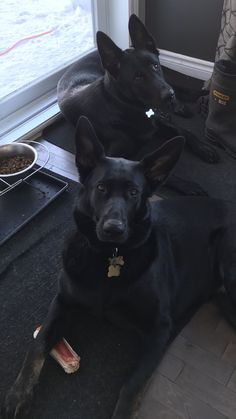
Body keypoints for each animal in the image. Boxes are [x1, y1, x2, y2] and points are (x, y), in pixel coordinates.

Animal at [57, 13, 219, 196]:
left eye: (155, 65)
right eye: (137, 77)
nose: (169, 95)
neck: (126, 106)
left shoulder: (156, 123)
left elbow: (184, 131)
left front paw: (204, 148)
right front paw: (188, 185)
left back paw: (179, 106)